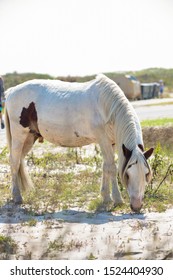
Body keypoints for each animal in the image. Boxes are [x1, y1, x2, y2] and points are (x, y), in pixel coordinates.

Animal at [4, 74, 153, 212]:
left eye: (146, 173)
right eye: (127, 174)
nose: (136, 206)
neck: (107, 107)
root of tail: (11, 91)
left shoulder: (112, 143)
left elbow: (105, 166)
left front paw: (105, 197)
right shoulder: (103, 140)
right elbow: (111, 167)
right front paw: (117, 199)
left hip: (30, 138)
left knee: (19, 161)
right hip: (19, 136)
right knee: (14, 162)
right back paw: (17, 197)